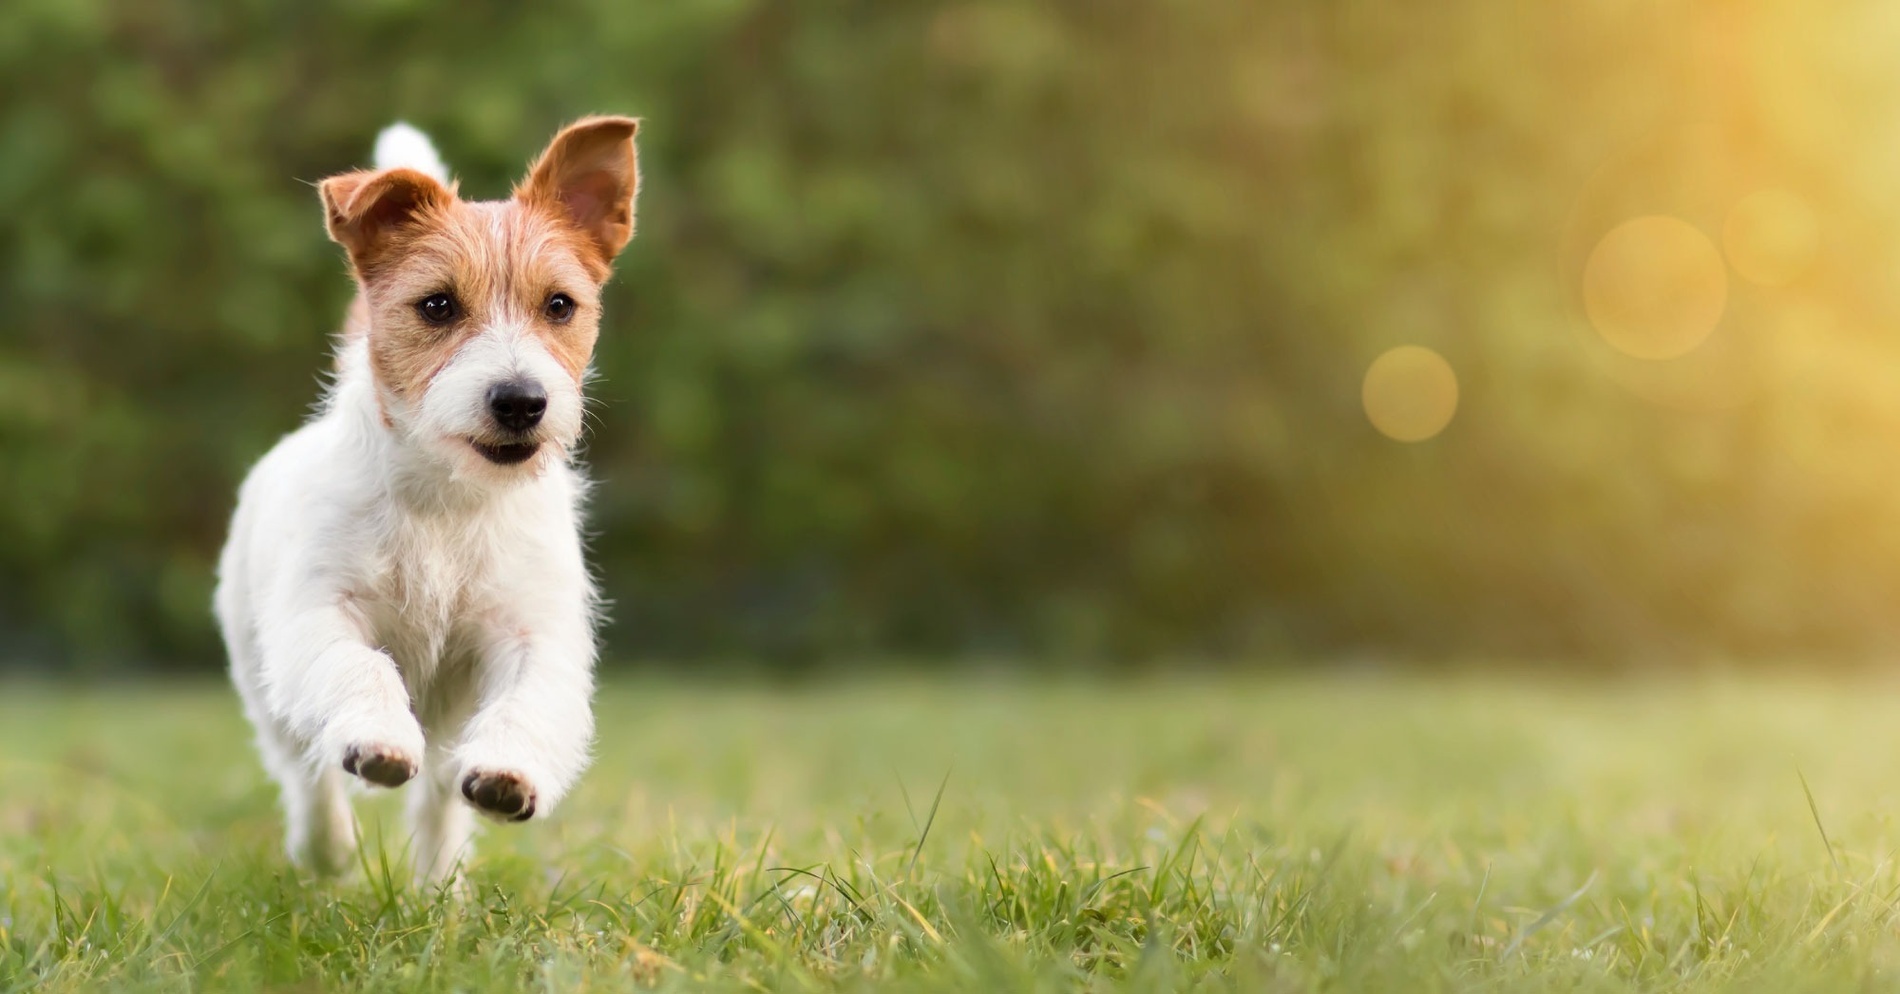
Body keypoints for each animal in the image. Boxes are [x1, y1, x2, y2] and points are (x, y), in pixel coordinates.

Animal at [211, 118, 634, 885]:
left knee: (438, 799)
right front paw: (379, 741)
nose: (520, 400)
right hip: (262, 674)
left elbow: (526, 703)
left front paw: (509, 772)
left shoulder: (529, 632)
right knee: (303, 769)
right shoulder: (321, 614)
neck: (449, 499)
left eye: (560, 305)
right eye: (437, 305)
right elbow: (361, 669)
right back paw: (326, 851)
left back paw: (439, 888)